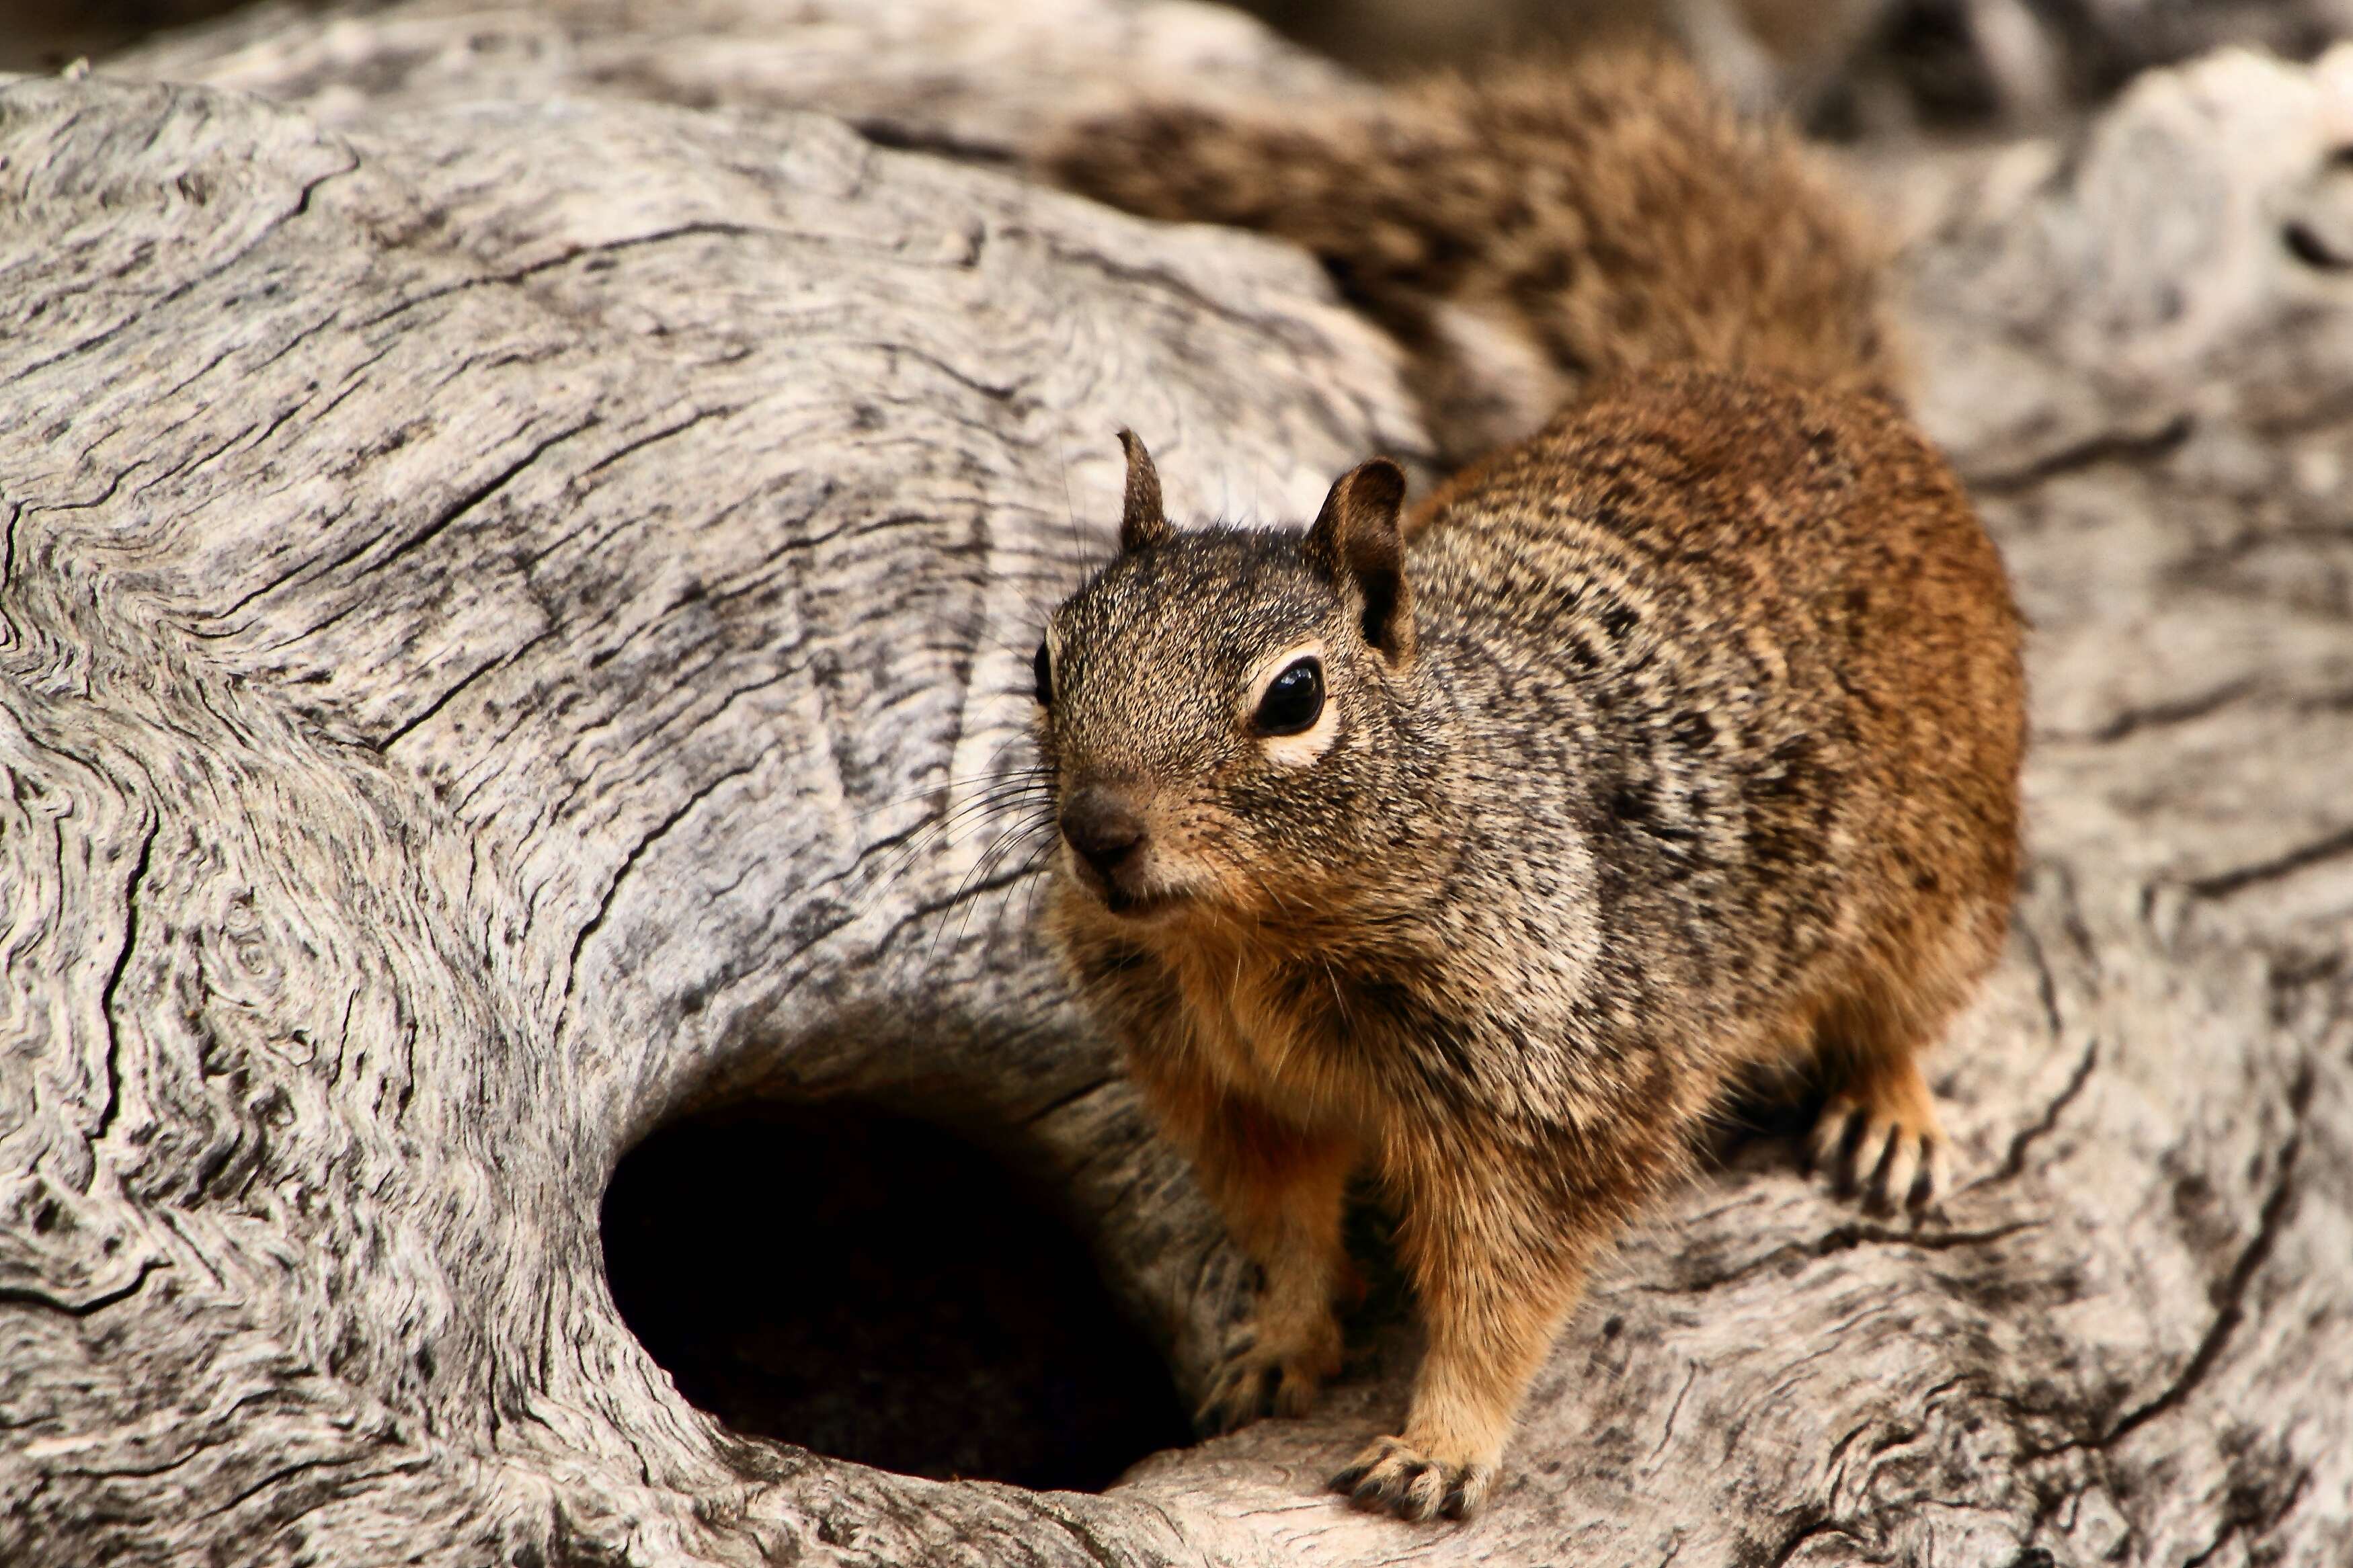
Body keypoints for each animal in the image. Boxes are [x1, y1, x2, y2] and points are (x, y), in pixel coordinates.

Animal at [1026, 46, 2024, 1523]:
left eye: (1294, 697)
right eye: (1046, 660)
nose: (1097, 834)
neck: (1249, 942)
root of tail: (1784, 386)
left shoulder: (1552, 1087)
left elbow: (1503, 1285)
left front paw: (1439, 1443)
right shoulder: (1231, 1088)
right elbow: (1285, 1227)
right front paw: (1276, 1345)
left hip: (1941, 874)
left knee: (1904, 1009)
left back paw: (1888, 1116)